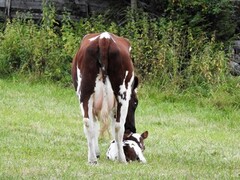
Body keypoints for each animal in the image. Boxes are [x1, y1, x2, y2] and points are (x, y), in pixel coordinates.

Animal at [71, 31, 138, 164]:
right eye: (136, 103)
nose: (133, 128)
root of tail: (104, 38)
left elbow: (94, 125)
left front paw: (96, 153)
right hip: (122, 93)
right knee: (118, 126)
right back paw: (122, 159)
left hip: (85, 92)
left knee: (88, 123)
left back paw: (92, 159)